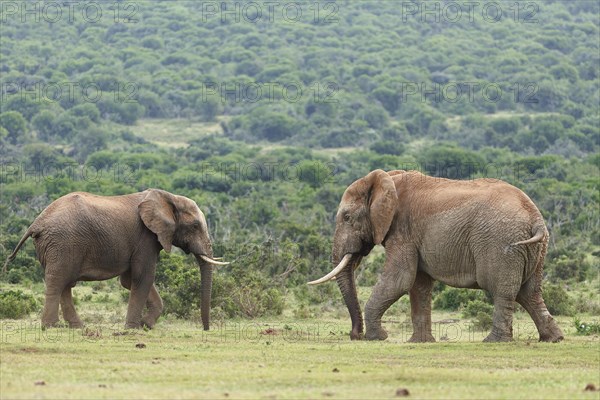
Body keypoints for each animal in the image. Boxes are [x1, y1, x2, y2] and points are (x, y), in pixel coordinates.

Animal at [3, 189, 227, 330]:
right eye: (195, 226)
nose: (206, 330)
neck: (168, 198)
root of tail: (36, 223)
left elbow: (129, 281)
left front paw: (146, 325)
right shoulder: (145, 237)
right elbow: (143, 277)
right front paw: (134, 328)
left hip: (56, 245)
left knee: (65, 283)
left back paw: (77, 327)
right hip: (63, 243)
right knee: (58, 280)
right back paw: (50, 327)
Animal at [310, 170, 564, 342]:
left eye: (347, 217)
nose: (354, 335)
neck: (388, 179)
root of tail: (535, 217)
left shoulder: (403, 230)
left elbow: (399, 280)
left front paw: (378, 337)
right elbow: (418, 284)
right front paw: (419, 342)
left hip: (500, 243)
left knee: (503, 290)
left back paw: (494, 341)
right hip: (536, 249)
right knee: (530, 292)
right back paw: (553, 339)